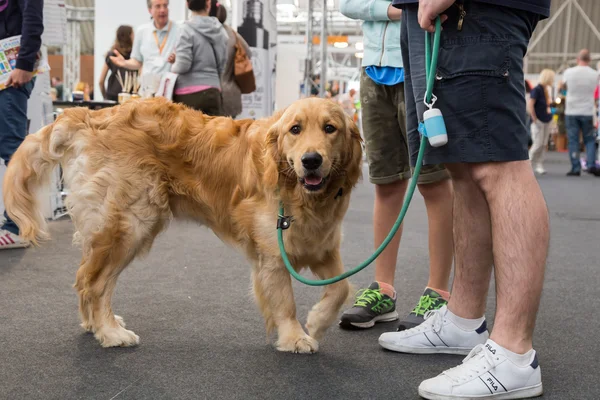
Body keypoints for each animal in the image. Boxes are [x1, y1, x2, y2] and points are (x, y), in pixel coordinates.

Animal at [3, 97, 360, 354]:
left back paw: (95, 325)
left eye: (330, 128)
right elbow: (285, 301)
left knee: (84, 278)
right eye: (295, 129)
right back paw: (110, 332)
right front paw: (295, 337)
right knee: (95, 283)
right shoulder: (273, 254)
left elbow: (341, 287)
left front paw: (318, 320)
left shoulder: (324, 246)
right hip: (130, 224)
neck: (302, 194)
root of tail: (93, 115)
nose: (311, 160)